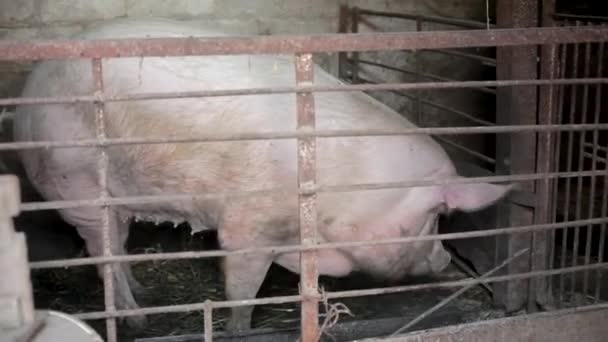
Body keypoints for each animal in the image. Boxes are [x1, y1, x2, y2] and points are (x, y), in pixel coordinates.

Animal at [11, 18, 510, 332]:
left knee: (117, 247)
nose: (444, 259)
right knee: (103, 256)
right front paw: (240, 328)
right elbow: (243, 289)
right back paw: (138, 319)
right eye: (438, 214)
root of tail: (27, 92)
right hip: (76, 182)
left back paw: (139, 290)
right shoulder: (249, 225)